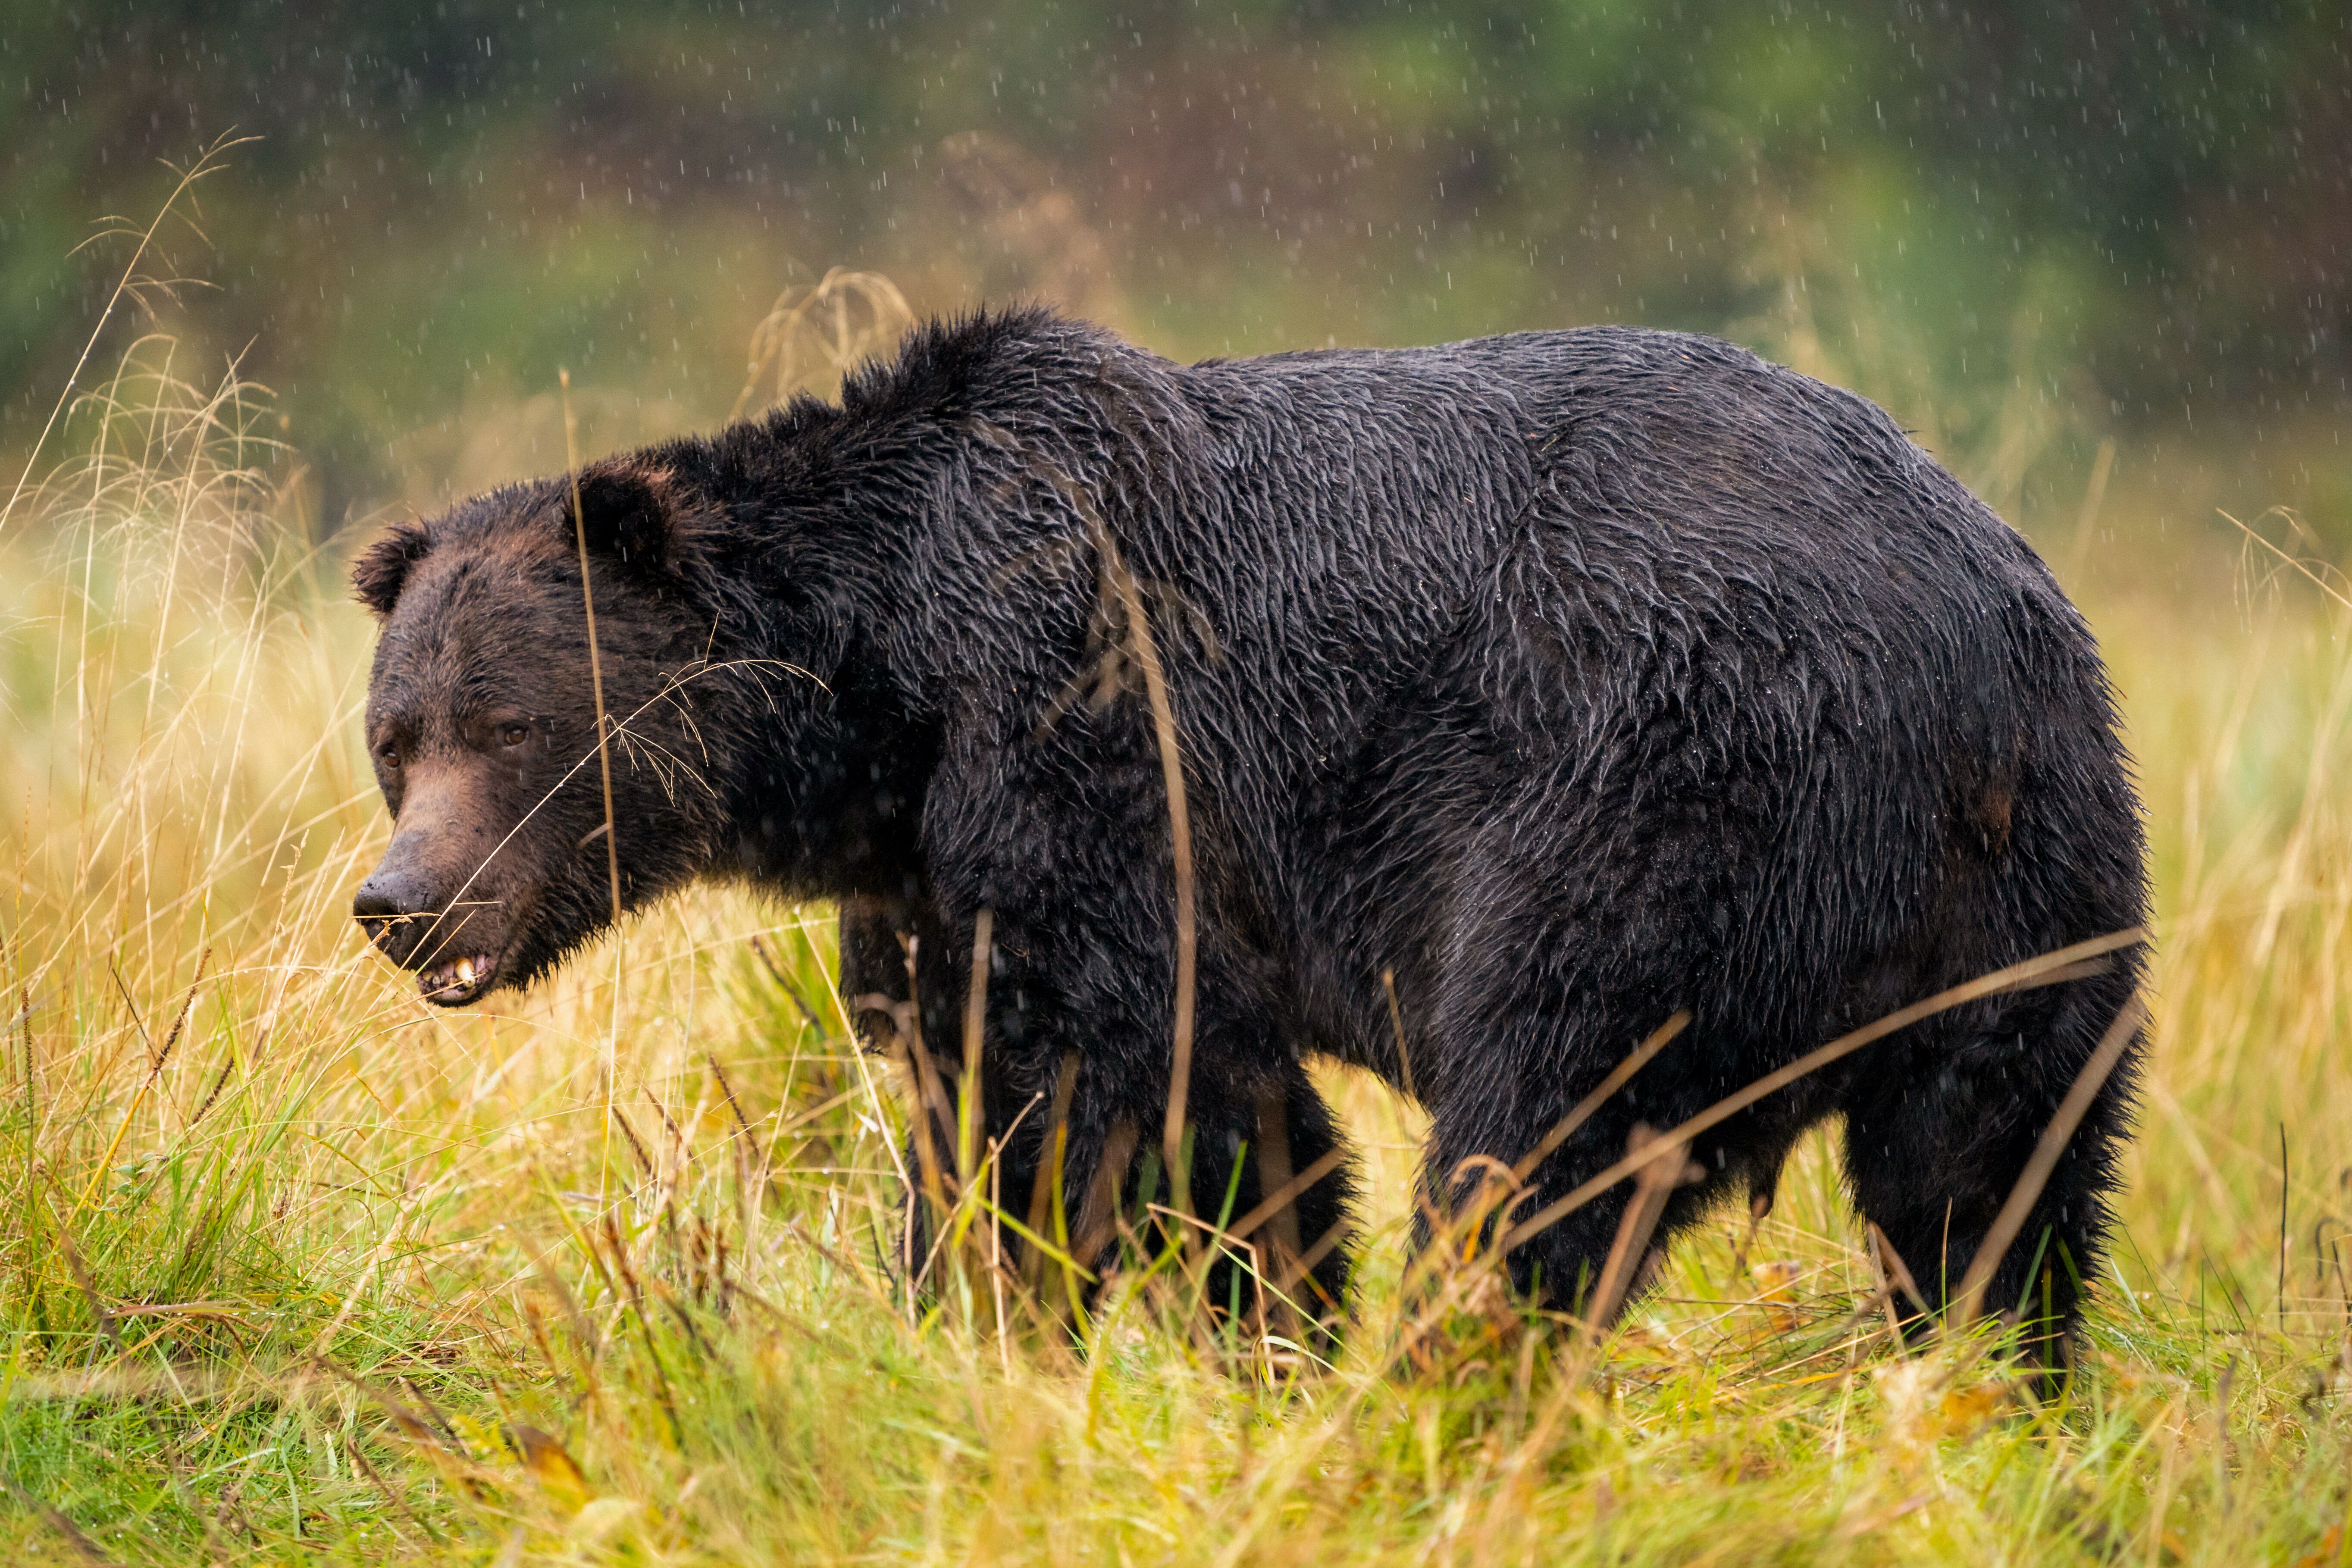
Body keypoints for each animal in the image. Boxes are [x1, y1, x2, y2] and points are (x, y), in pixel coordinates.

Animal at [350, 307, 2147, 1350]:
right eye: (392, 737)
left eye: (511, 726)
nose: (401, 899)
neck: (890, 693)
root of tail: (1960, 649)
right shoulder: (936, 866)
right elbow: (979, 1073)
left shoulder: (1085, 743)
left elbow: (1128, 1096)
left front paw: (1165, 1324)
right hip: (2033, 896)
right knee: (1988, 1182)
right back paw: (1990, 1389)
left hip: (1662, 799)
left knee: (1542, 1128)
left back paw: (1447, 1372)